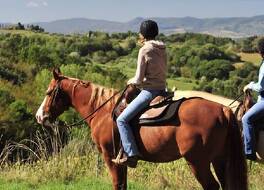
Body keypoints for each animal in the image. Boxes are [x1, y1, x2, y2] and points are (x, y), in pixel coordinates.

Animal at [35, 69, 248, 189]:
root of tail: (223, 110)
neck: (103, 111)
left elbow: (117, 184)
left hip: (198, 162)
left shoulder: (110, 156)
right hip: (220, 159)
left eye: (48, 92)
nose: (39, 116)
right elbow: (123, 184)